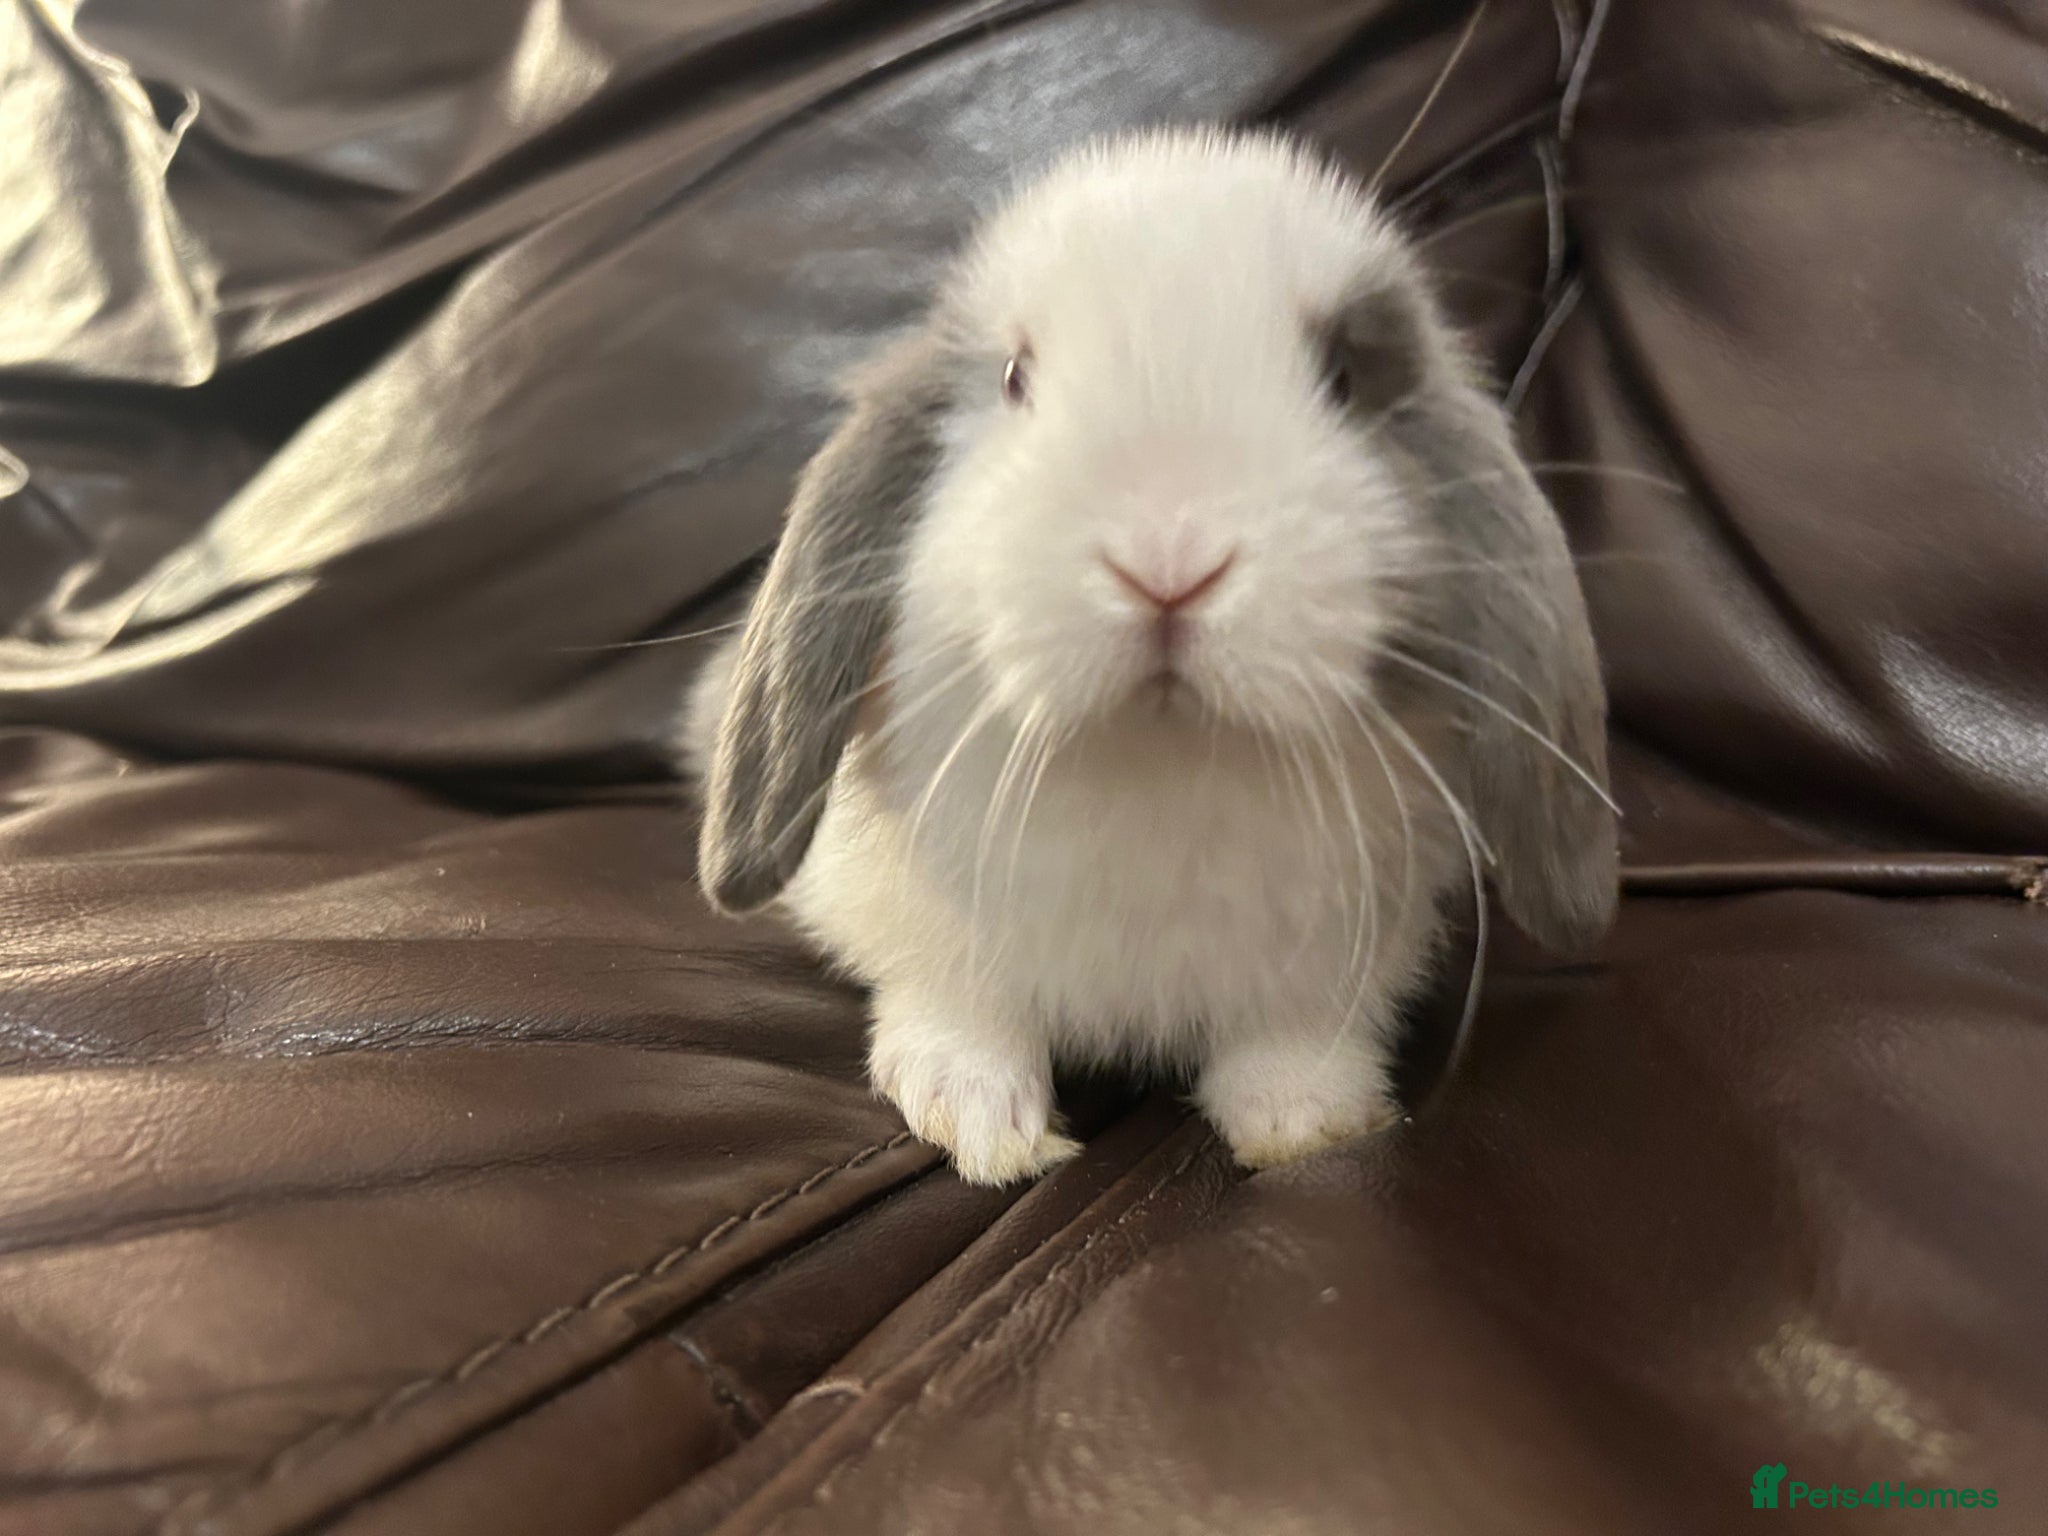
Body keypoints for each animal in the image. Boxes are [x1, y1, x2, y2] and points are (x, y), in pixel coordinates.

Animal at [683, 125, 1617, 1186]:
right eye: (1014, 377)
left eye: (1343, 378)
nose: (1168, 564)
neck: (1159, 760)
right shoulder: (921, 921)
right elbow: (959, 1005)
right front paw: (982, 1125)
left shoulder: (1332, 958)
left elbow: (1292, 1044)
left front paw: (1309, 1124)